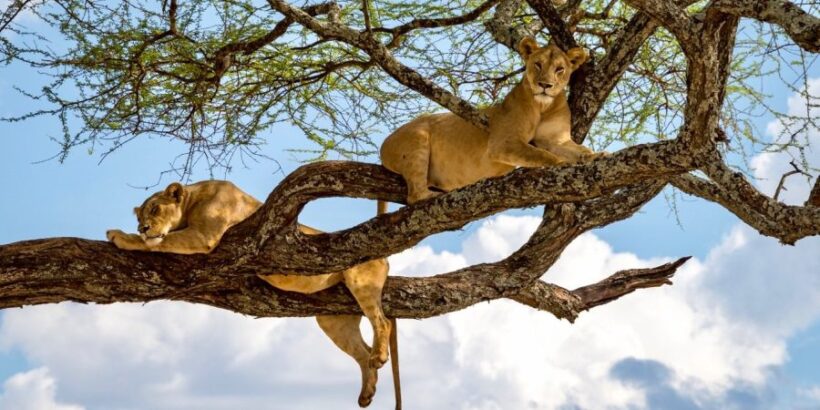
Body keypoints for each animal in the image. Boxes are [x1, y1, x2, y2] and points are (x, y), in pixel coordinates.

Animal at [106, 180, 398, 408]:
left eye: (155, 209)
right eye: (139, 216)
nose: (143, 227)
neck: (192, 199)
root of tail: (384, 257)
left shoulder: (203, 236)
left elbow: (160, 243)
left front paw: (122, 236)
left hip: (361, 283)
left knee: (382, 322)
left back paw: (379, 358)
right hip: (334, 320)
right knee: (362, 352)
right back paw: (367, 393)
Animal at [380, 37, 603, 204]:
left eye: (559, 69)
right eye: (538, 64)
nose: (545, 85)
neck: (543, 106)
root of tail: (384, 144)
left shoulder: (556, 140)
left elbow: (580, 150)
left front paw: (598, 155)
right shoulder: (503, 143)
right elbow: (542, 155)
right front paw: (561, 165)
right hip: (417, 141)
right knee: (414, 196)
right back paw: (432, 196)